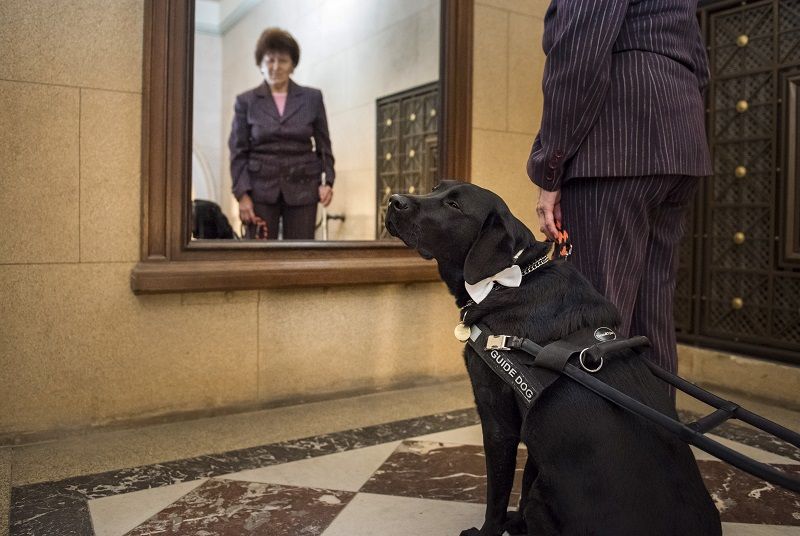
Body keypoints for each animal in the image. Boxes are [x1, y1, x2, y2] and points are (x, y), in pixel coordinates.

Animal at [384, 182, 720, 532]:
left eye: (454, 205)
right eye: (437, 188)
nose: (393, 200)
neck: (507, 279)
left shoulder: (498, 423)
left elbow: (497, 497)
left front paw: (491, 529)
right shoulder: (536, 433)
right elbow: (526, 476)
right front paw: (514, 521)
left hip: (543, 496)